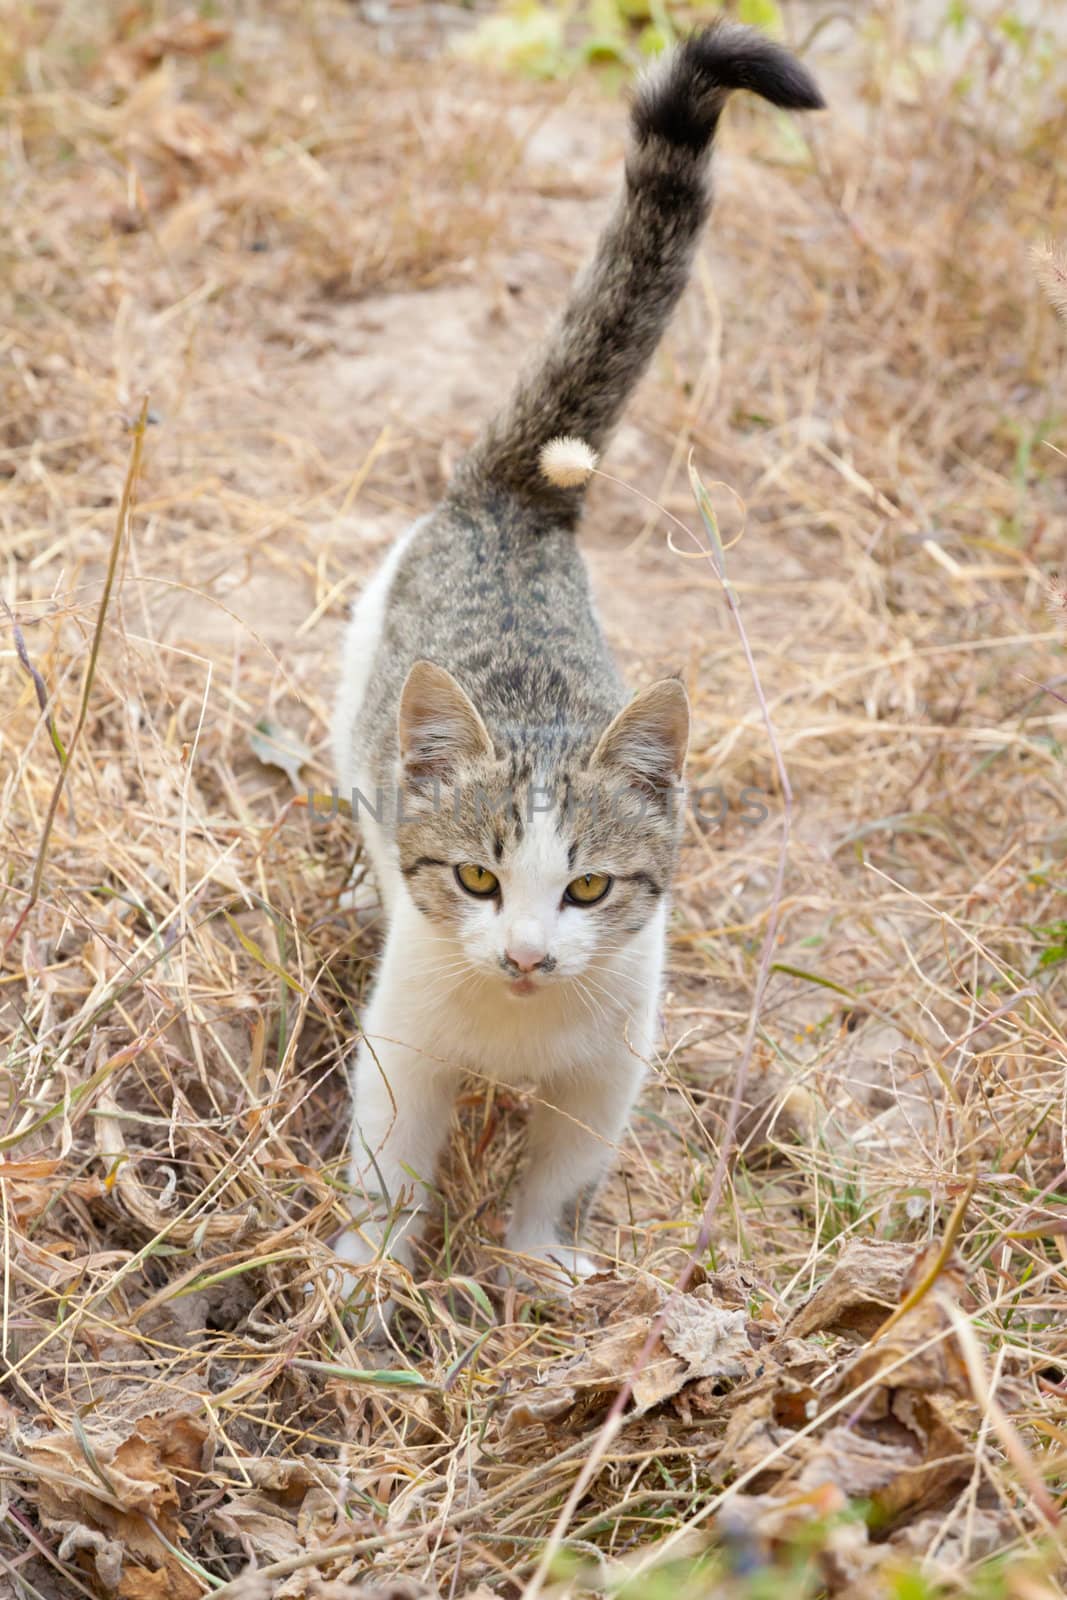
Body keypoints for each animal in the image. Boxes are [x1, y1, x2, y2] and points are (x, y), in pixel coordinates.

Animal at [329, 21, 825, 1324]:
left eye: (589, 889)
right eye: (476, 878)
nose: (524, 958)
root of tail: (519, 496)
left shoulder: (611, 1062)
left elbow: (564, 1169)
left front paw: (541, 1260)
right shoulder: (401, 1044)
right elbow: (387, 1166)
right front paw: (363, 1279)